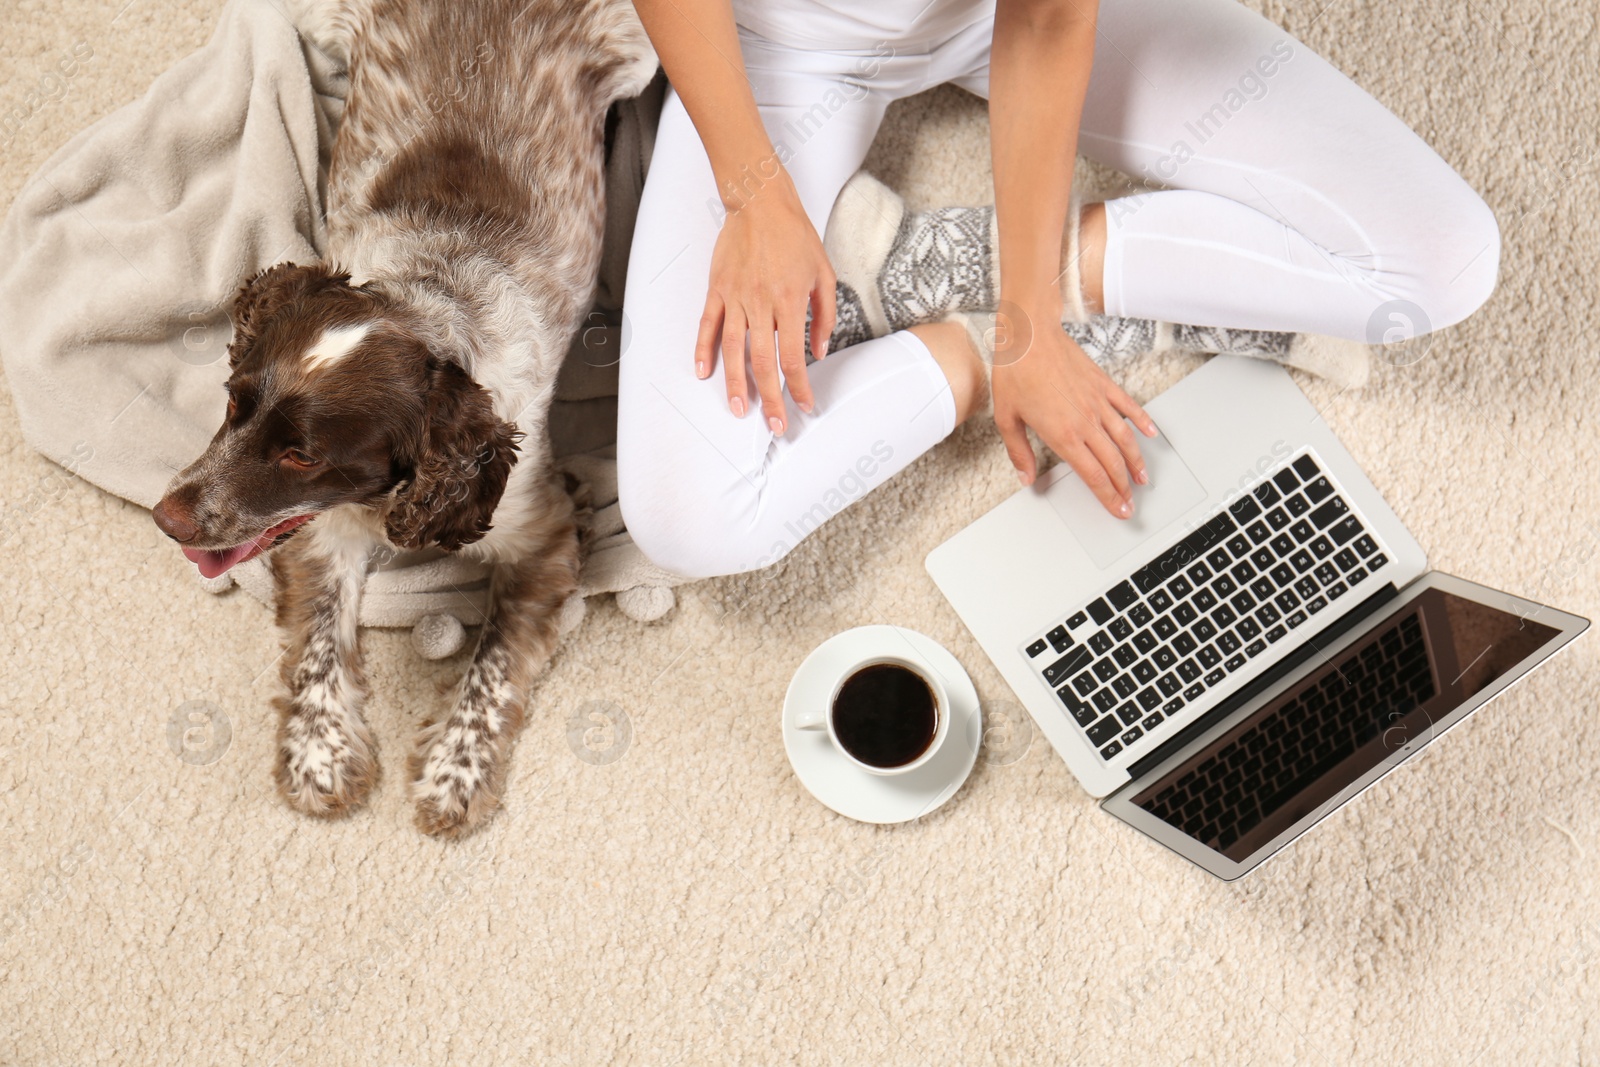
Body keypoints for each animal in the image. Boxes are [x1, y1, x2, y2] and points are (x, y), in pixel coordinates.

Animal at [145, 0, 656, 831]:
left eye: (301, 455)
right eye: (232, 402)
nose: (169, 518)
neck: (427, 293)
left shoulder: (538, 534)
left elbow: (492, 662)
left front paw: (456, 768)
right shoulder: (319, 529)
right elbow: (321, 643)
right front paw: (319, 754)